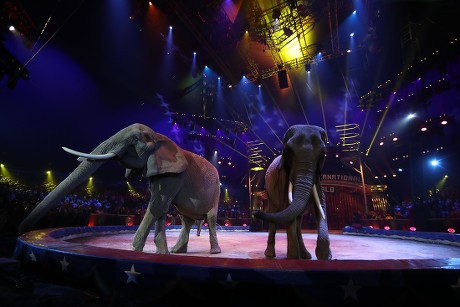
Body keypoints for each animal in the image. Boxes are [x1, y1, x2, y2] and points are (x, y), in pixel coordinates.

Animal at [18, 122, 224, 255]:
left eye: (135, 139)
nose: (21, 230)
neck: (159, 137)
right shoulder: (160, 173)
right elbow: (161, 208)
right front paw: (162, 253)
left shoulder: (174, 175)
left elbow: (157, 205)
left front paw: (135, 250)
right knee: (186, 220)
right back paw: (177, 251)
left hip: (216, 191)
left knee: (210, 218)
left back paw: (214, 252)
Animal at [253, 124, 332, 262]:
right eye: (289, 151)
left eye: (322, 153)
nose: (255, 213)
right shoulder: (283, 176)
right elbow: (287, 205)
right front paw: (293, 258)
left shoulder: (317, 175)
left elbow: (321, 203)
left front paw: (325, 257)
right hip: (270, 193)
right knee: (274, 213)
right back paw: (269, 254)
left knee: (298, 223)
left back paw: (306, 255)